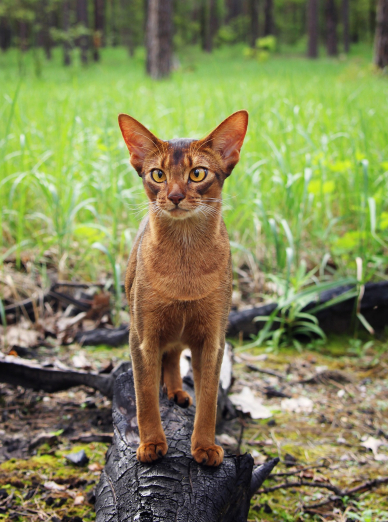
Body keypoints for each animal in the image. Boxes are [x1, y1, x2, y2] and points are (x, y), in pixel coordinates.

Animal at [116, 108, 249, 464]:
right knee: (170, 352)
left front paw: (204, 447)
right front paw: (151, 444)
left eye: (198, 173)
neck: (185, 263)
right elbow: (145, 395)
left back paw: (177, 391)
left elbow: (209, 399)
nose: (174, 196)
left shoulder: (213, 339)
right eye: (158, 175)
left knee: (175, 351)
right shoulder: (142, 336)